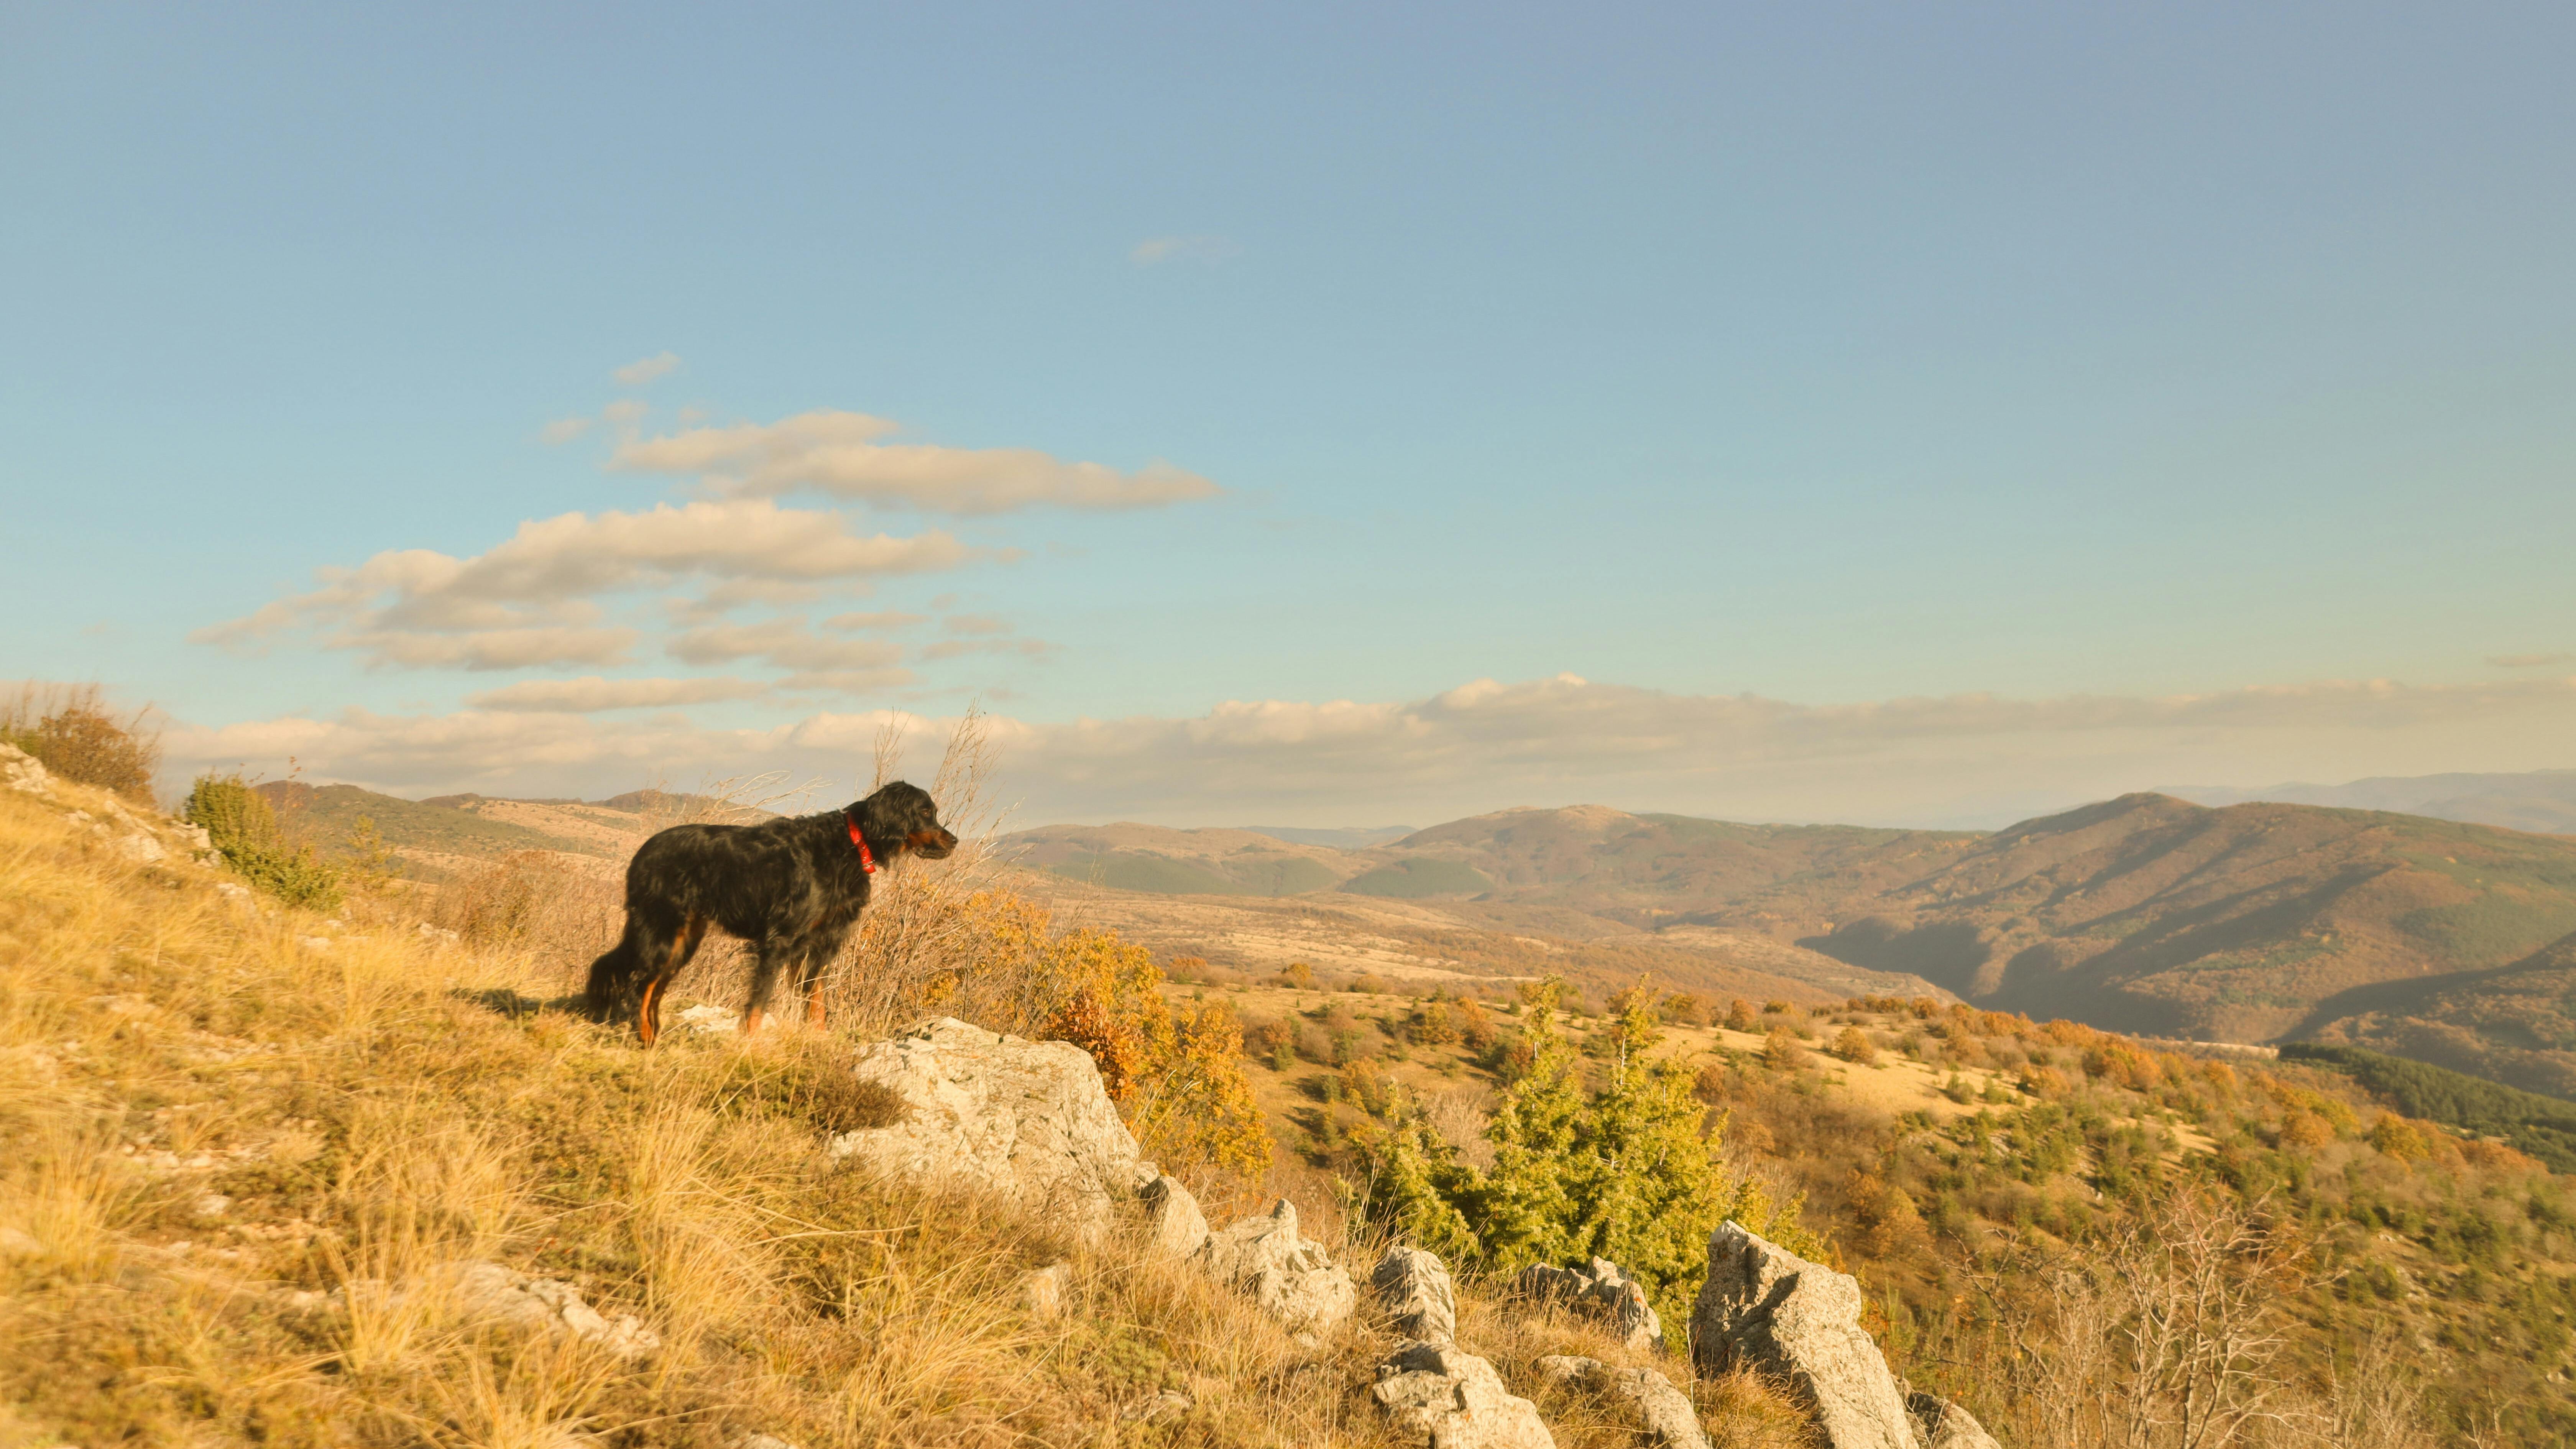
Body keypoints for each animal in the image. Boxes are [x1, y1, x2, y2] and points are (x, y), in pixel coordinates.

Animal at [580, 779, 963, 1036]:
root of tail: (643, 852)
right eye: (925, 812)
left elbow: (816, 1002)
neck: (851, 845)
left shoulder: (820, 945)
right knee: (640, 987)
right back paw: (647, 1043)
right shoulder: (779, 941)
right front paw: (749, 1049)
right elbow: (759, 1004)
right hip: (662, 932)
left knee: (653, 989)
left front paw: (817, 1041)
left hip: (684, 940)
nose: (954, 841)